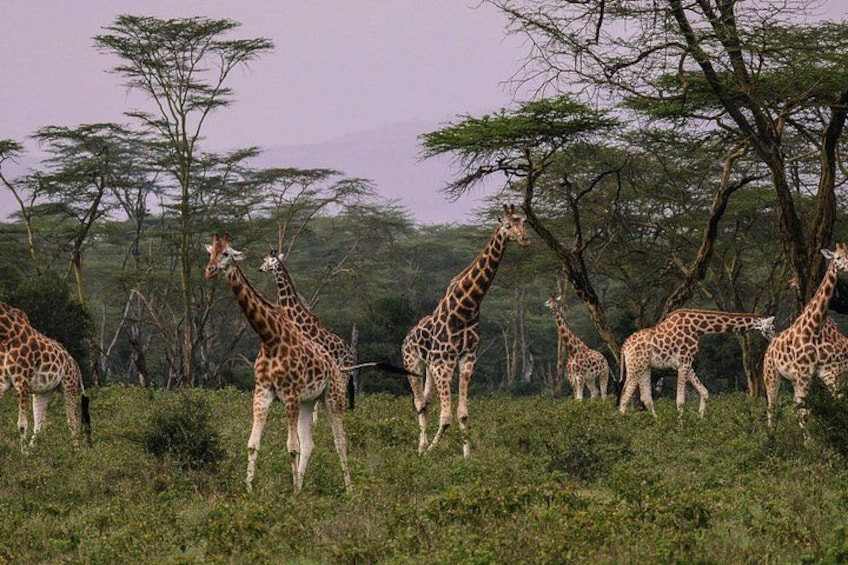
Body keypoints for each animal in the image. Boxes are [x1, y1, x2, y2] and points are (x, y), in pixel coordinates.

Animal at [0, 302, 91, 450]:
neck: (6, 335)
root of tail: (75, 364)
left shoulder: (22, 382)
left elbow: (22, 424)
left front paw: (23, 454)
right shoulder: (3, 382)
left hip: (69, 385)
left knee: (72, 421)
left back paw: (76, 451)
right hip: (44, 391)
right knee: (39, 425)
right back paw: (34, 451)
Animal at [205, 233, 351, 493]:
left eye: (227, 253)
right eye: (210, 252)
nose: (209, 270)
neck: (269, 338)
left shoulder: (290, 394)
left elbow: (291, 446)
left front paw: (291, 494)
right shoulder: (263, 392)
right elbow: (253, 444)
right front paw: (250, 490)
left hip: (332, 395)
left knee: (340, 441)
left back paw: (350, 490)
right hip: (308, 400)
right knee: (309, 443)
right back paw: (302, 487)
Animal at [402, 204, 530, 457]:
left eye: (523, 222)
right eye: (507, 225)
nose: (525, 239)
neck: (467, 308)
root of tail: (407, 337)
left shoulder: (467, 358)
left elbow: (462, 414)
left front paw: (467, 456)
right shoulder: (444, 362)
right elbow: (446, 417)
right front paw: (430, 451)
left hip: (429, 367)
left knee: (426, 403)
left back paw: (422, 446)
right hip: (413, 363)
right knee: (419, 404)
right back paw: (421, 448)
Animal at [618, 308, 776, 417]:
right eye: (773, 327)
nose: (775, 337)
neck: (698, 328)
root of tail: (624, 347)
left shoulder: (686, 363)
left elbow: (705, 392)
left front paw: (700, 420)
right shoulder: (684, 361)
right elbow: (680, 400)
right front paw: (681, 427)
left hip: (645, 367)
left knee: (645, 398)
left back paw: (656, 422)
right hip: (635, 366)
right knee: (624, 396)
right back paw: (621, 426)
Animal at [763, 243, 848, 427]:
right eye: (838, 257)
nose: (787, 284)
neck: (815, 328)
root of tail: (771, 343)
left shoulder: (826, 373)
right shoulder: (806, 373)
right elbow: (804, 412)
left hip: (794, 379)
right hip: (771, 375)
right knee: (772, 408)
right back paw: (771, 435)